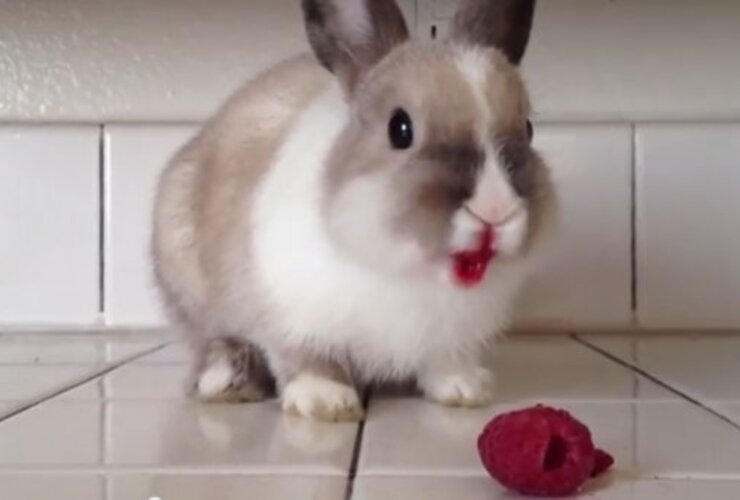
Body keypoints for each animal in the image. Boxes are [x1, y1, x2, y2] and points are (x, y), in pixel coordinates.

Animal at [152, 0, 556, 422]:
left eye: (528, 129)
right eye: (400, 128)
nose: (495, 210)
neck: (406, 270)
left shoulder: (453, 338)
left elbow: (446, 363)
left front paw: (464, 390)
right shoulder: (292, 316)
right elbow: (308, 359)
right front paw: (325, 400)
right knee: (209, 340)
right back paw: (225, 379)